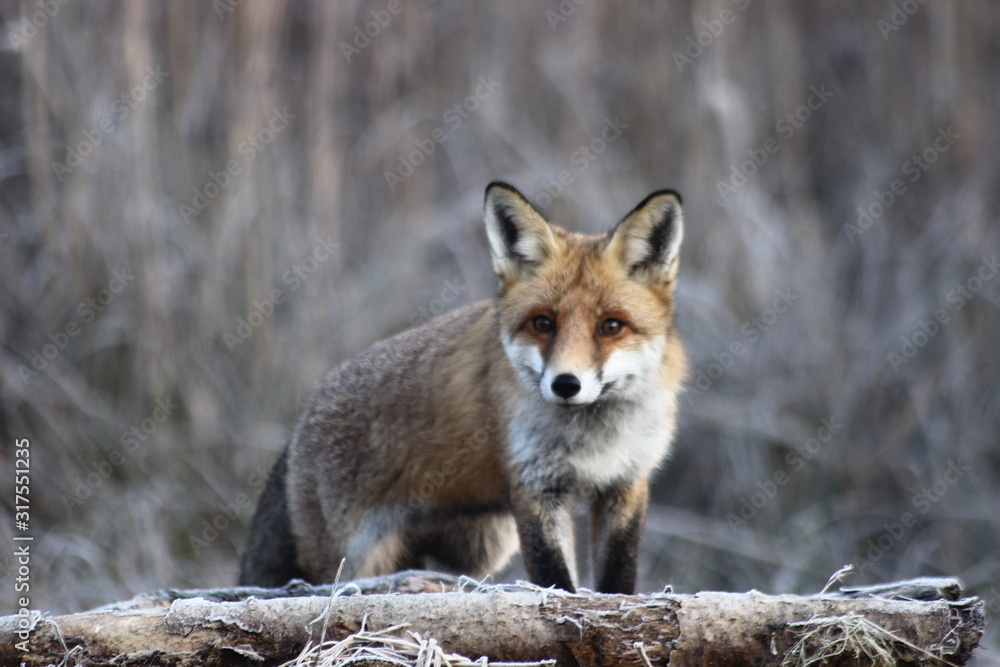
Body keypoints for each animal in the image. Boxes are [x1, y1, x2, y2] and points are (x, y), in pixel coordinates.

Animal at [239, 181, 687, 594]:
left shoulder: (627, 483)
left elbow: (618, 577)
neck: (593, 438)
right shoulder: (534, 486)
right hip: (353, 559)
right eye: (542, 322)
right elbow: (553, 577)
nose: (565, 384)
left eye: (610, 326)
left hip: (479, 545)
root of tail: (303, 419)